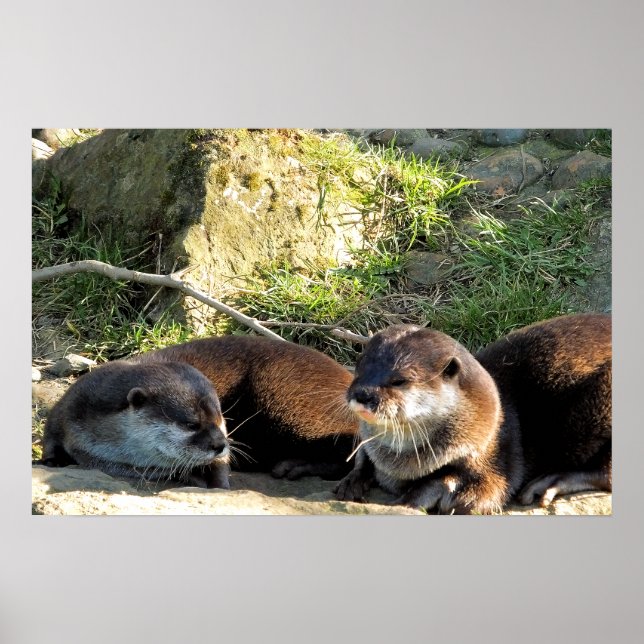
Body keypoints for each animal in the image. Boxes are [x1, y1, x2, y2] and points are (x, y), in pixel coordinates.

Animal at [334, 313, 611, 514]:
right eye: (359, 368)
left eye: (399, 380)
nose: (362, 394)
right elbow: (362, 456)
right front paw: (352, 479)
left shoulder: (496, 455)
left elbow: (486, 494)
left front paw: (418, 496)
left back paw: (551, 482)